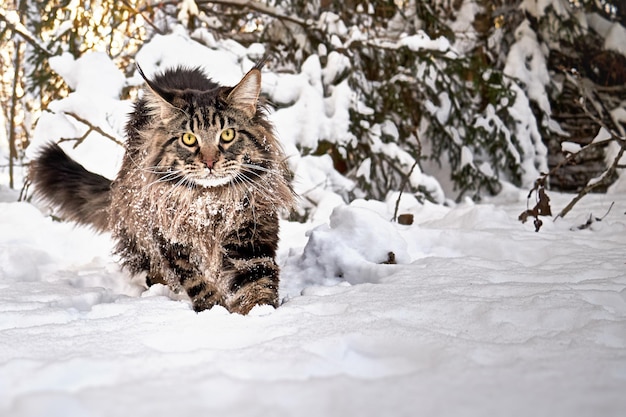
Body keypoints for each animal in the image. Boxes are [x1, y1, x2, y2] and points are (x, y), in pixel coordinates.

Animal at [28, 63, 294, 314]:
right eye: (189, 139)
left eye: (227, 134)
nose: (209, 162)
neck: (208, 204)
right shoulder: (169, 237)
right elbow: (198, 283)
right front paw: (213, 311)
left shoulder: (251, 232)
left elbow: (256, 282)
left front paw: (260, 314)